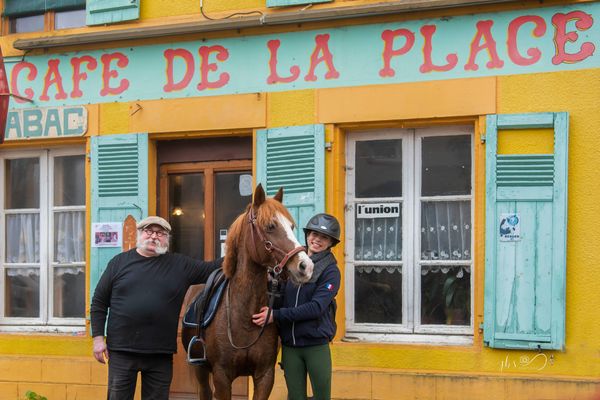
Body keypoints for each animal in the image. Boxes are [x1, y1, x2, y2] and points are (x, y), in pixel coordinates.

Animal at [182, 184, 314, 400]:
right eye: (270, 226)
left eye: (291, 226)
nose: (306, 266)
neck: (244, 315)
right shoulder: (221, 376)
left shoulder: (265, 375)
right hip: (200, 369)